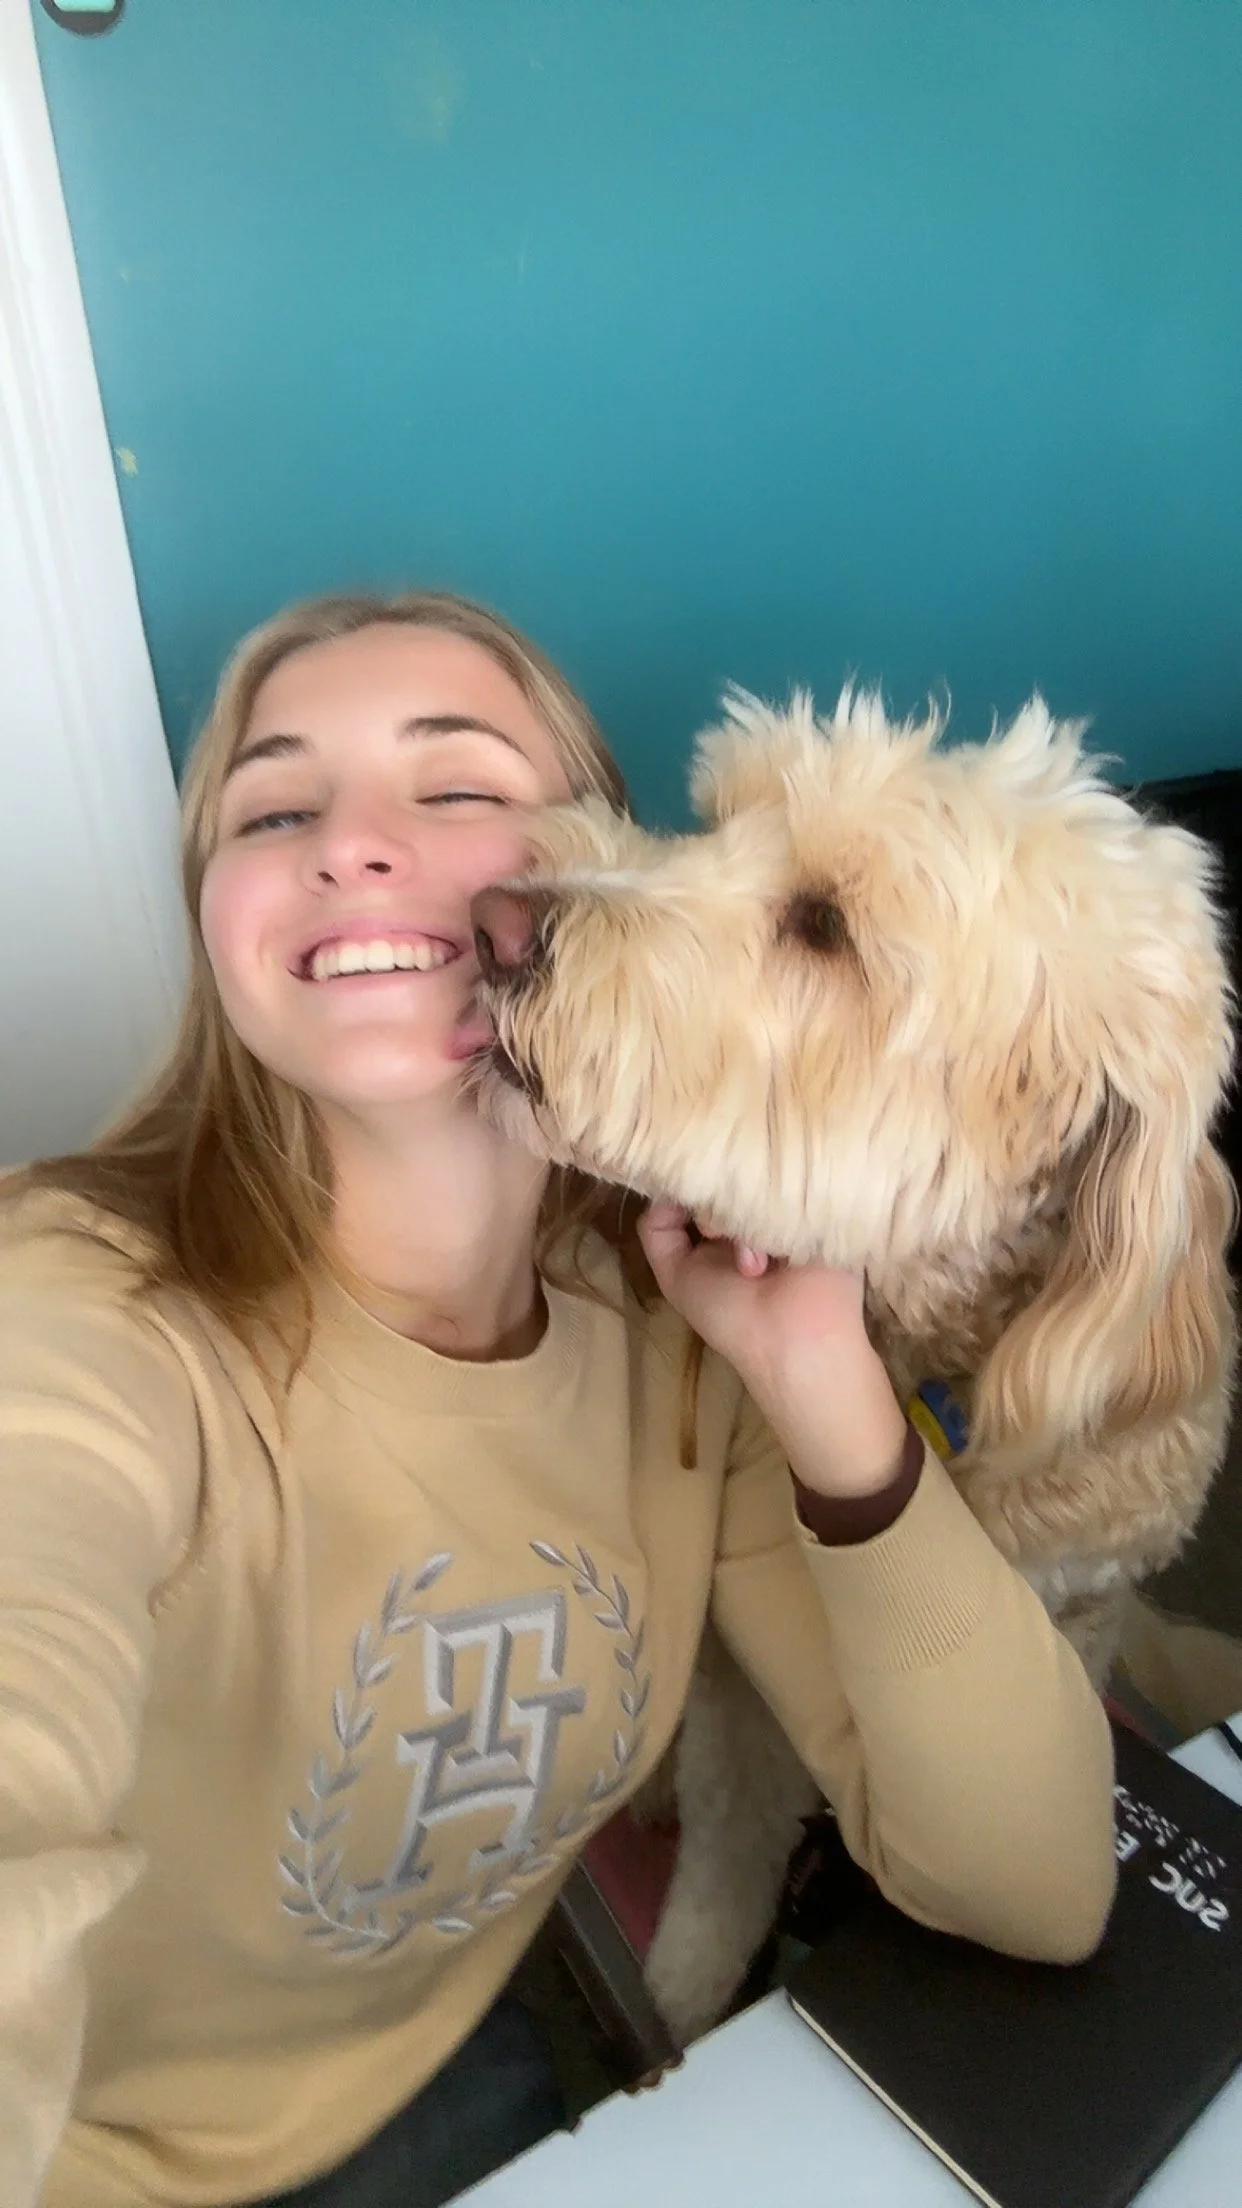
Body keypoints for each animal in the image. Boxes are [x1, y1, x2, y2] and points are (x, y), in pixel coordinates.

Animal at [471, 688, 1237, 2041]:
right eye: (714, 818)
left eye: (824, 926)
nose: (491, 918)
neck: (936, 1383)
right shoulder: (742, 1676)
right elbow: (732, 1829)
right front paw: (692, 1987)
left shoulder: (1080, 1618)